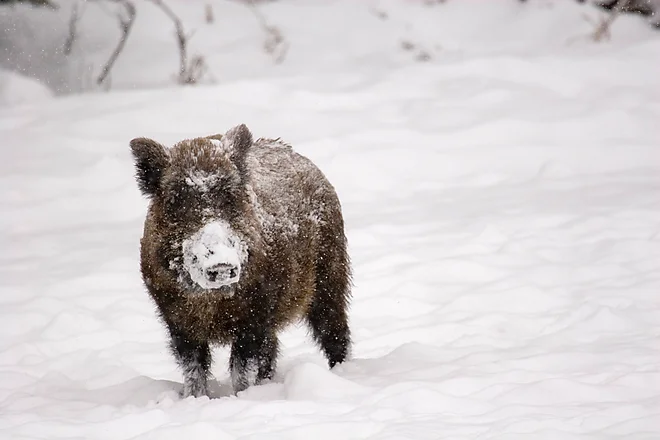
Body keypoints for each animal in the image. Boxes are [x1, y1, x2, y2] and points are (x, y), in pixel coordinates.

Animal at [129, 124, 352, 398]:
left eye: (230, 196)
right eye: (176, 199)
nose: (222, 264)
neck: (212, 304)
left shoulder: (255, 316)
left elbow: (242, 367)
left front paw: (242, 397)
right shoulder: (177, 322)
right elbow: (194, 367)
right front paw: (195, 398)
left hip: (330, 278)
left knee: (334, 330)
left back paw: (340, 372)